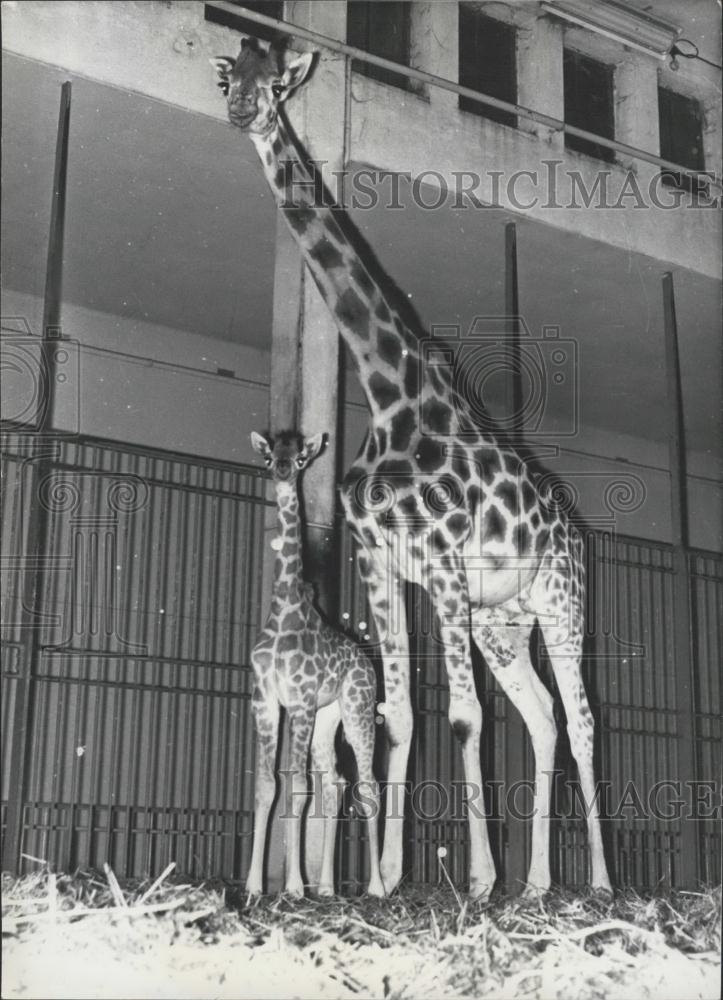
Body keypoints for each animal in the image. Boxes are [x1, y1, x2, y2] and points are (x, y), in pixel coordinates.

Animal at [247, 429, 384, 898]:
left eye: (303, 458)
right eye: (269, 455)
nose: (283, 470)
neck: (284, 611)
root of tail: (367, 663)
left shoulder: (301, 700)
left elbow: (297, 785)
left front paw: (292, 887)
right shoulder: (266, 701)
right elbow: (268, 784)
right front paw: (254, 886)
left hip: (357, 710)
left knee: (369, 784)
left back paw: (377, 888)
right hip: (330, 717)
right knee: (337, 783)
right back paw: (326, 888)